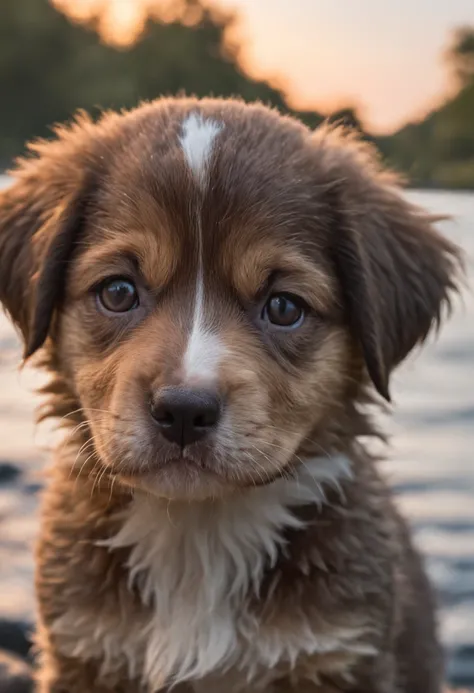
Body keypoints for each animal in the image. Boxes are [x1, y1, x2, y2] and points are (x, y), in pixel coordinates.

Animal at [0, 98, 462, 692]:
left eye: (284, 307)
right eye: (118, 292)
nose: (182, 411)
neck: (199, 534)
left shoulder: (342, 656)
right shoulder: (83, 653)